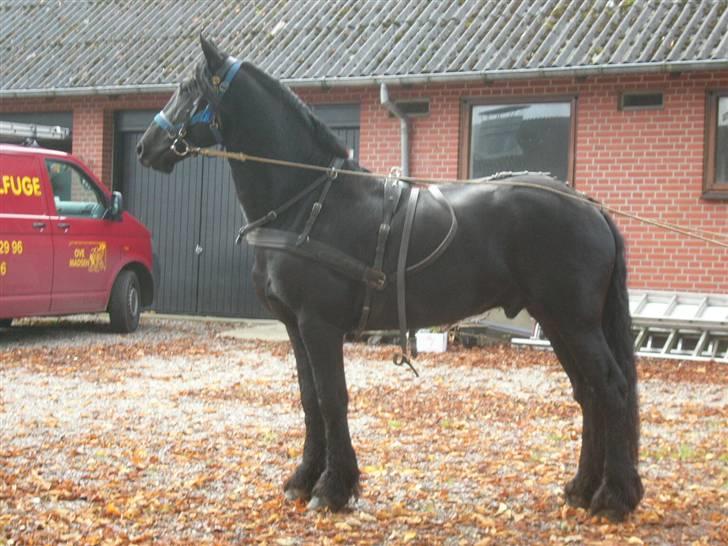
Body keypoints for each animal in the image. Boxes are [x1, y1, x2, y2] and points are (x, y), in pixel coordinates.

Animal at [136, 36, 644, 520]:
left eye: (187, 89)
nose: (145, 147)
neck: (308, 200)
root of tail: (590, 205)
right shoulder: (295, 328)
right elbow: (309, 399)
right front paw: (304, 478)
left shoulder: (319, 326)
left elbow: (331, 399)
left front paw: (332, 489)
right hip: (558, 323)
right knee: (589, 393)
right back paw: (582, 489)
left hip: (575, 323)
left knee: (611, 389)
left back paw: (613, 498)